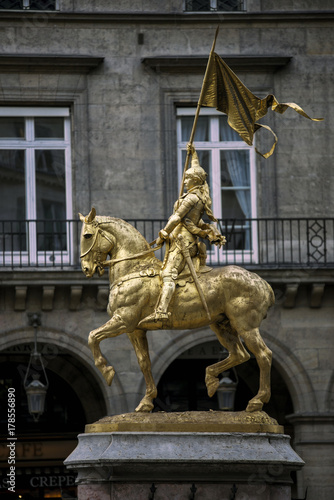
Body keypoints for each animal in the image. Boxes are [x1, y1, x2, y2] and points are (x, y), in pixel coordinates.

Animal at [80, 208, 274, 414]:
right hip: (222, 325)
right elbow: (144, 362)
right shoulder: (135, 330)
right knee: (240, 354)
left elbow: (92, 336)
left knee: (263, 355)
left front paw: (107, 371)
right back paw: (211, 379)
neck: (135, 269)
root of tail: (263, 283)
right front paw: (146, 402)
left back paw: (257, 401)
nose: (86, 269)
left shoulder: (123, 320)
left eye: (87, 235)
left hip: (245, 326)